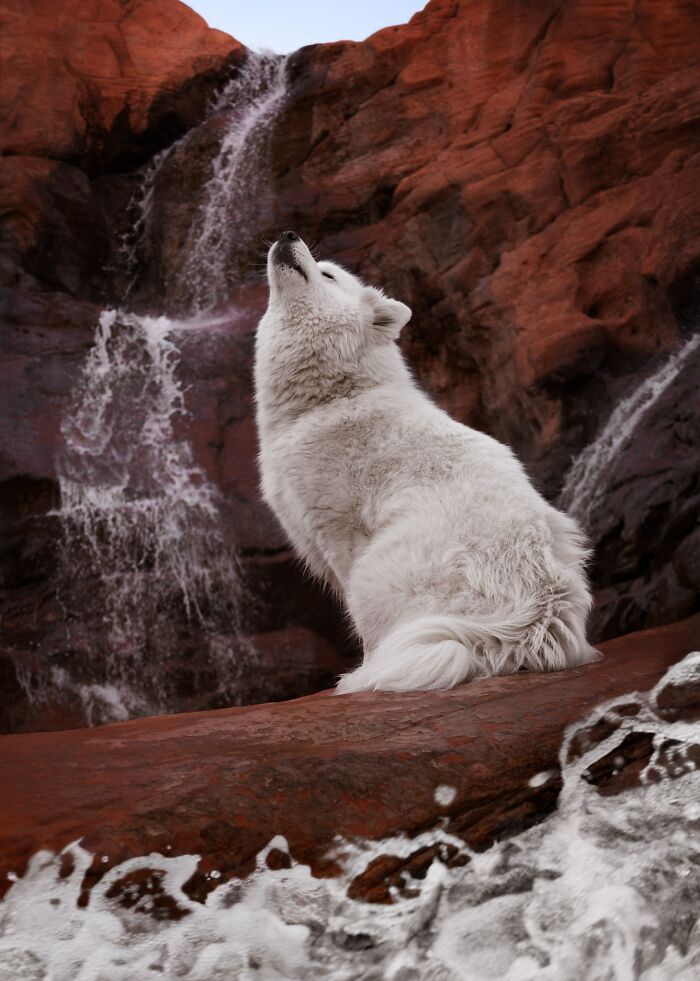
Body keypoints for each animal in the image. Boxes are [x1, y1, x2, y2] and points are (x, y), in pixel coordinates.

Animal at [254, 231, 600, 693]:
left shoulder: (340, 533)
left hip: (376, 572)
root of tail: (539, 615)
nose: (288, 235)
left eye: (328, 274)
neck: (333, 396)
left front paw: (366, 667)